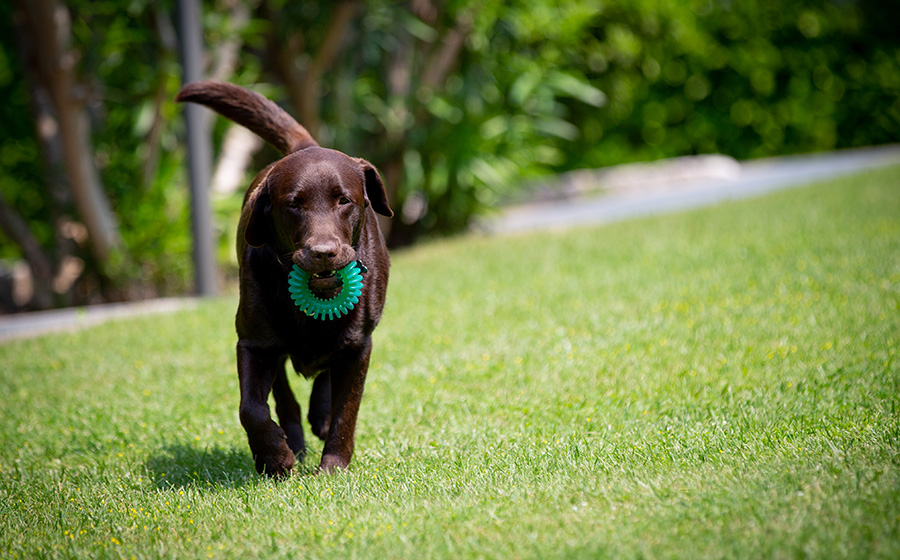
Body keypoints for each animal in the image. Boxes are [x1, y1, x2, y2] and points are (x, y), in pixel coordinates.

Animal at [178, 82, 392, 476]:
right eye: (294, 203)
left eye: (344, 200)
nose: (323, 252)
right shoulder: (254, 343)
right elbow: (251, 408)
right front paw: (275, 458)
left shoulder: (359, 346)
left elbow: (346, 411)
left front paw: (333, 466)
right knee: (284, 397)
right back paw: (292, 442)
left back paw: (319, 417)